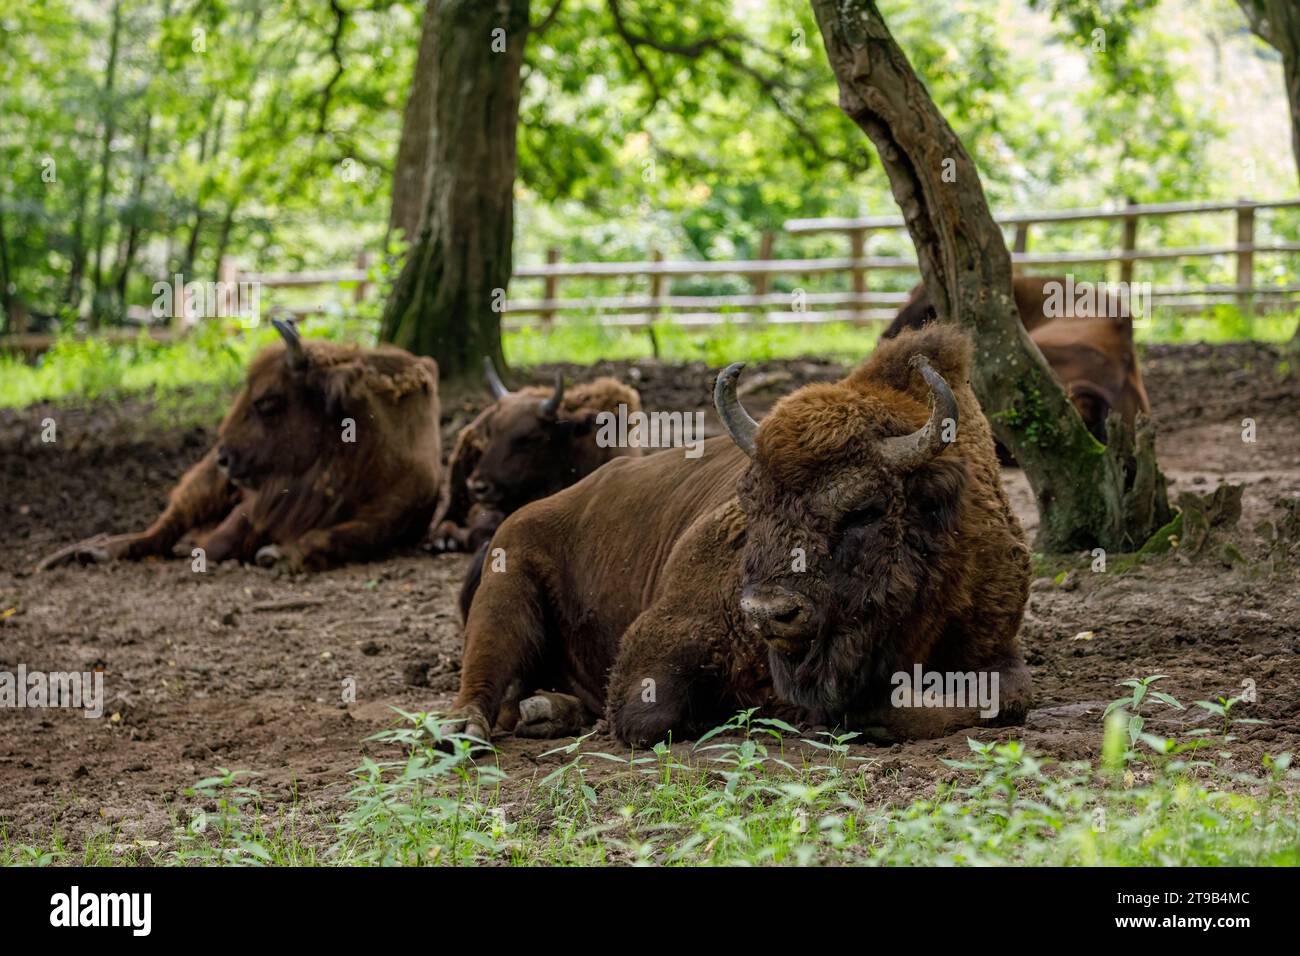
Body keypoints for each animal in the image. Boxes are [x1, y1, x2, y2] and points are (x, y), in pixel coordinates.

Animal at [38, 321, 444, 574]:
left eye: (267, 401)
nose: (224, 457)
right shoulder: (255, 502)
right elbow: (221, 540)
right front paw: (199, 547)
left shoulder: (389, 517)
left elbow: (334, 536)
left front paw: (277, 555)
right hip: (202, 487)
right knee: (160, 529)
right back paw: (95, 551)